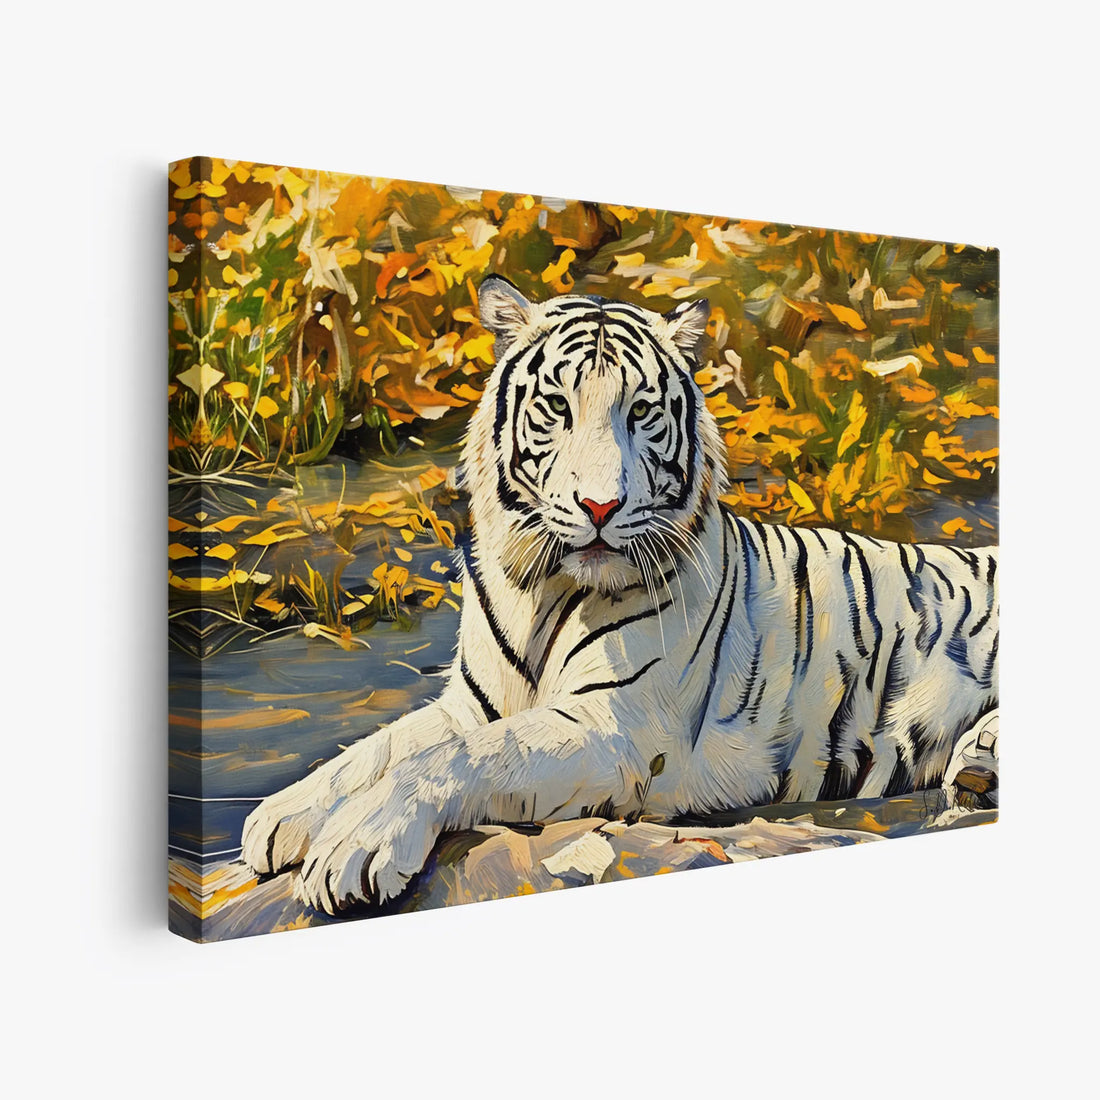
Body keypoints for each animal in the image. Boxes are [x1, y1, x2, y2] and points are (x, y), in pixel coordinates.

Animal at [241, 275, 1000, 915]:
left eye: (641, 412)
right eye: (556, 408)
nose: (600, 506)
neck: (540, 588)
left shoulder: (617, 729)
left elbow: (457, 759)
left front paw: (354, 847)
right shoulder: (472, 704)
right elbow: (377, 749)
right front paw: (279, 817)